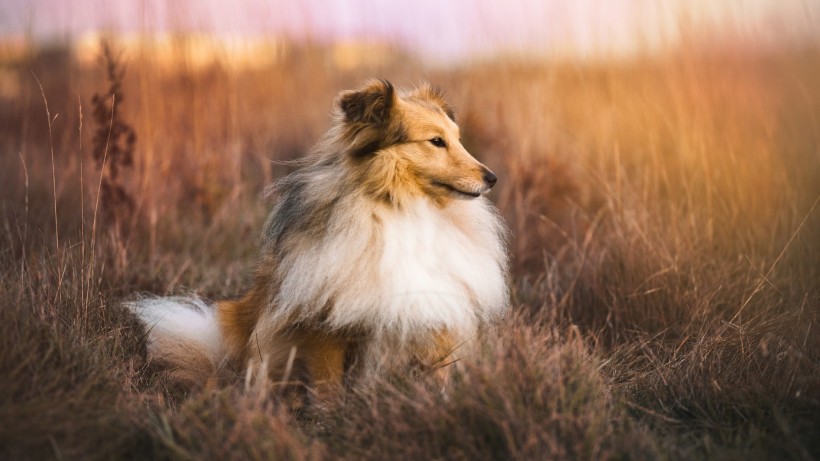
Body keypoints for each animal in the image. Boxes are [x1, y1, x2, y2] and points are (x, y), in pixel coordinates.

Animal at [128, 80, 510, 398]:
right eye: (436, 141)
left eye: (458, 138)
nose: (492, 178)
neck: (407, 208)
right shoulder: (325, 327)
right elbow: (328, 388)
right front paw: (331, 421)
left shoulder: (436, 314)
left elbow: (437, 375)